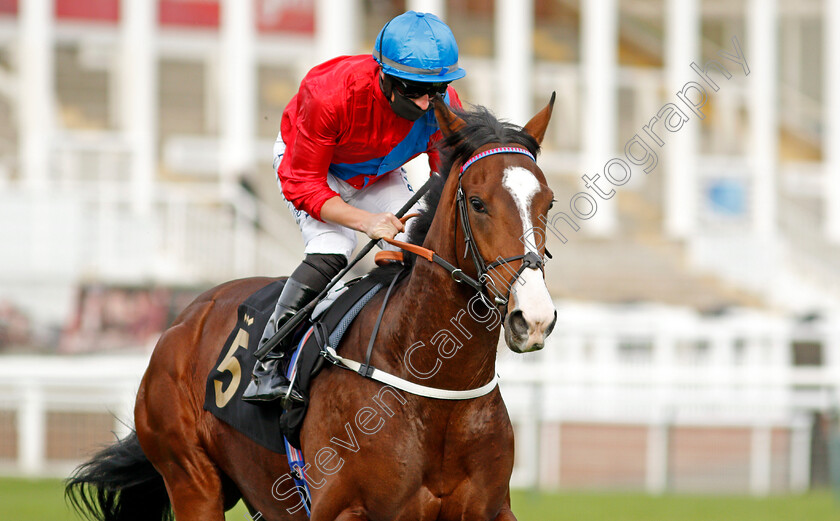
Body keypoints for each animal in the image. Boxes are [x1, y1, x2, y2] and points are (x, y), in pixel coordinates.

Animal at [67, 94, 556, 520]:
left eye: (547, 202)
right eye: (477, 203)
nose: (533, 318)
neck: (437, 391)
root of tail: (185, 318)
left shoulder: (491, 510)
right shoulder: (341, 509)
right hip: (191, 478)